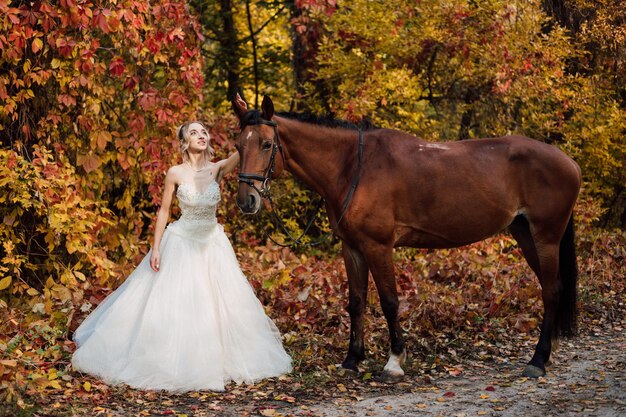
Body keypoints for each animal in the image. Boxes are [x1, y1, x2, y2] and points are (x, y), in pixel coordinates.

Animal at [230, 95, 580, 380]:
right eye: (238, 145)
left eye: (266, 144)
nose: (247, 200)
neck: (352, 167)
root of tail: (569, 162)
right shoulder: (352, 248)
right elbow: (356, 302)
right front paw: (351, 360)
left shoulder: (378, 247)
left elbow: (389, 301)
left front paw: (394, 361)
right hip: (525, 233)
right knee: (553, 287)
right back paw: (548, 352)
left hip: (546, 237)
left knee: (550, 290)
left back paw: (537, 360)